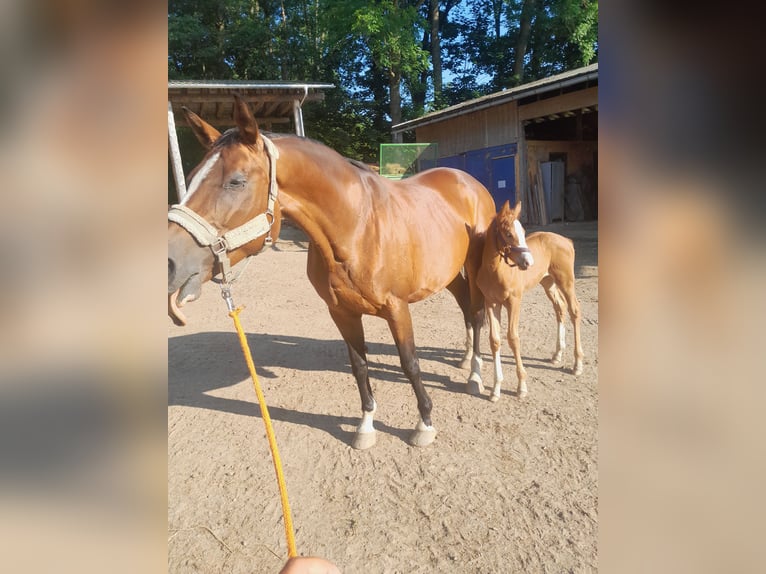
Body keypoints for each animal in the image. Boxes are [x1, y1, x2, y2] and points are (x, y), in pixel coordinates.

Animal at [166, 97, 498, 450]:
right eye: (191, 175)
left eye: (237, 181)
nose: (170, 262)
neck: (358, 226)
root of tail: (467, 181)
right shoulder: (342, 312)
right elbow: (360, 366)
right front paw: (365, 426)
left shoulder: (397, 309)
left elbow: (410, 364)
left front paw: (424, 424)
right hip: (447, 274)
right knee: (466, 308)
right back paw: (466, 359)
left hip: (474, 266)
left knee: (477, 314)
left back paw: (475, 375)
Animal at [476, 200, 584, 402]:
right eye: (509, 234)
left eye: (524, 231)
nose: (529, 262)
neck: (496, 271)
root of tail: (567, 241)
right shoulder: (491, 303)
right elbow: (495, 340)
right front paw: (496, 389)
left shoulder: (514, 302)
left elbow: (513, 338)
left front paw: (521, 387)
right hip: (548, 282)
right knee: (560, 308)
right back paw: (557, 354)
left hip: (566, 282)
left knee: (574, 311)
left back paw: (577, 364)